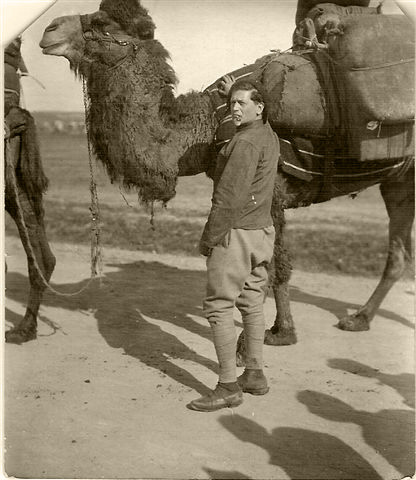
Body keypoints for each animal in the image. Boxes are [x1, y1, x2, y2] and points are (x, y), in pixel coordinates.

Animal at [38, 0, 412, 352]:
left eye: (102, 24)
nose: (49, 30)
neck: (209, 125)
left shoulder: (270, 191)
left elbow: (274, 265)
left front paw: (274, 335)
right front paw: (274, 331)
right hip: (399, 181)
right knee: (399, 254)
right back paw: (359, 319)